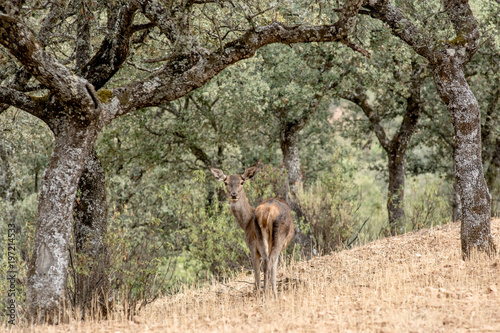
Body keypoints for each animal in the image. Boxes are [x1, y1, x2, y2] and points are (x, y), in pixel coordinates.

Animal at [210, 165, 294, 296]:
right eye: (225, 182)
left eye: (242, 182)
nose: (234, 194)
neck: (246, 224)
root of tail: (267, 212)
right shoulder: (251, 245)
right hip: (276, 238)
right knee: (269, 261)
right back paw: (268, 294)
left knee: (266, 262)